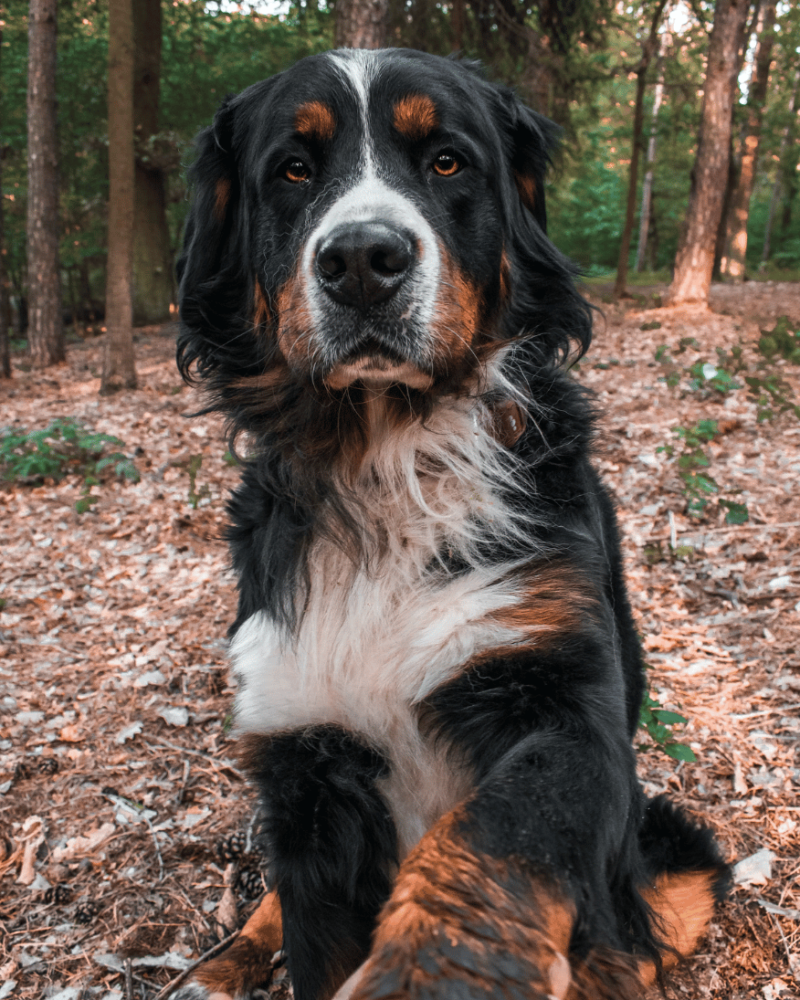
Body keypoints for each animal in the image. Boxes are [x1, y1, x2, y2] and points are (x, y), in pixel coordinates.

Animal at [177, 48, 732, 1000]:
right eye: (293, 170)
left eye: (446, 161)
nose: (363, 259)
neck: (386, 459)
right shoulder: (301, 760)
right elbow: (308, 925)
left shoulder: (565, 705)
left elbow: (493, 835)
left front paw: (435, 968)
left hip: (674, 844)